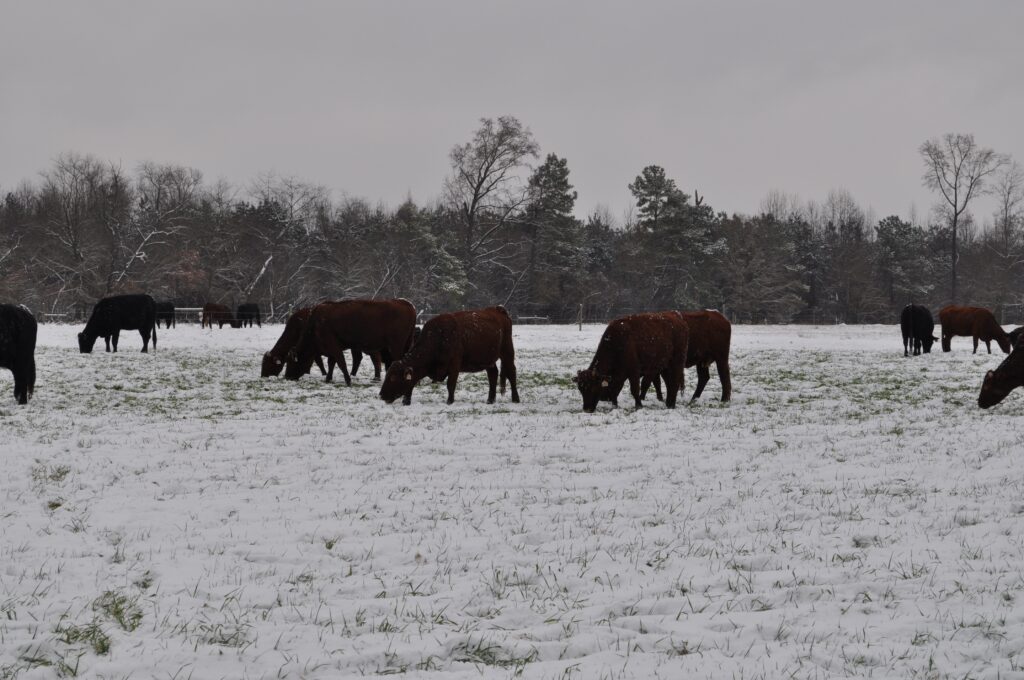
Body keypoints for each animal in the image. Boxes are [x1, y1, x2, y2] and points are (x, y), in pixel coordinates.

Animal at [378, 307, 520, 403]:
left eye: (393, 378)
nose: (381, 395)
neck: (438, 337)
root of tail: (498, 310)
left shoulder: (454, 366)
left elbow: (450, 385)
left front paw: (449, 401)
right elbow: (412, 383)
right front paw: (406, 401)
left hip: (507, 353)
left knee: (512, 373)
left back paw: (515, 398)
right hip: (489, 360)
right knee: (493, 374)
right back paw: (490, 400)